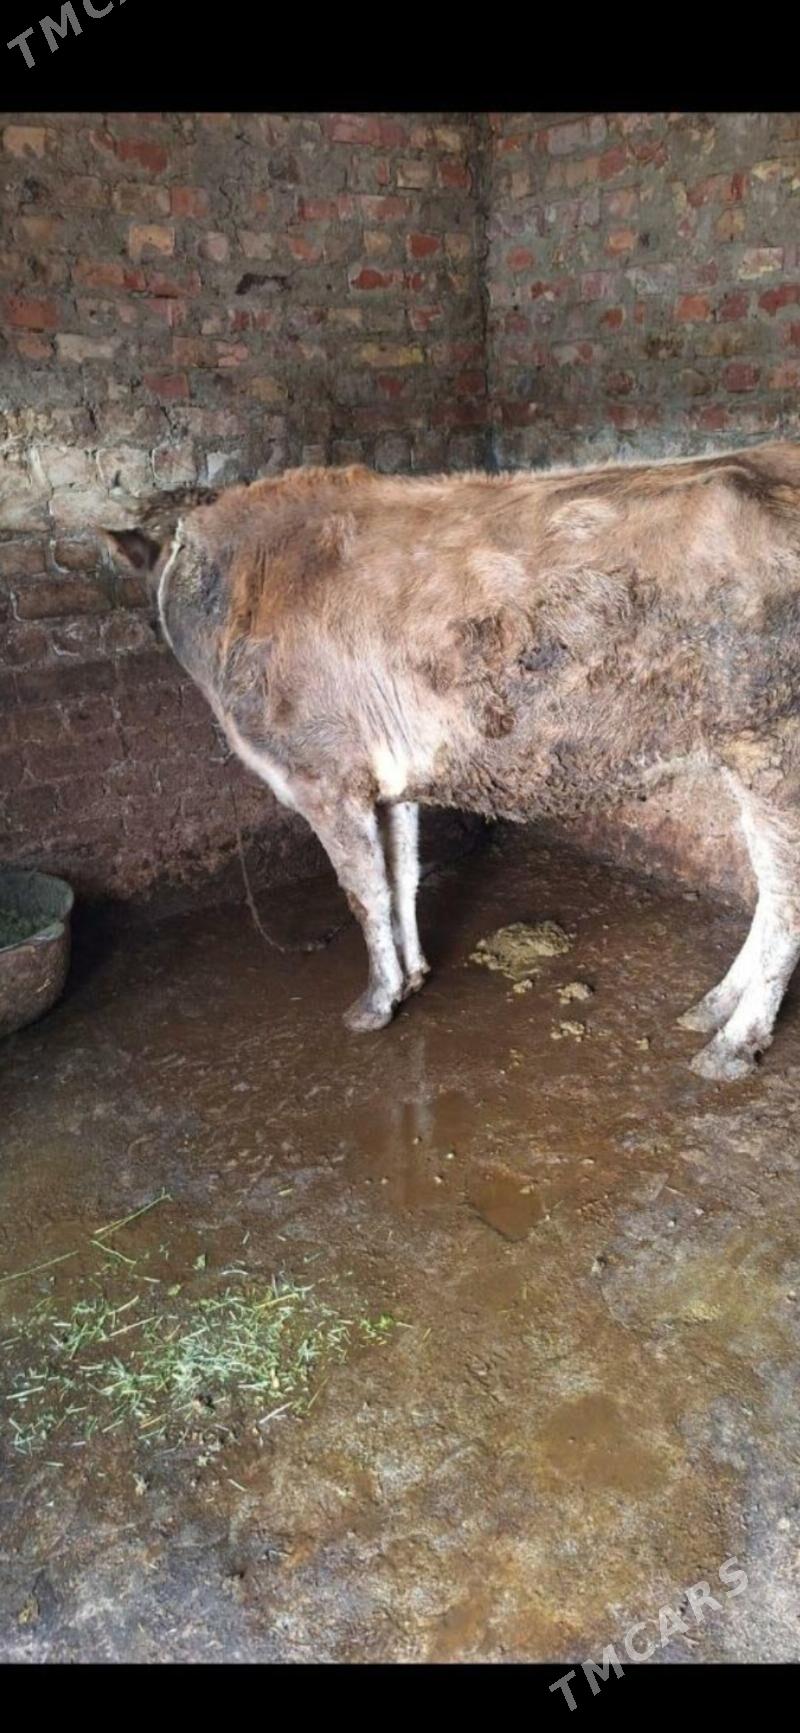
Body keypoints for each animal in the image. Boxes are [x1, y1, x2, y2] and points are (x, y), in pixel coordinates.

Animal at [104, 441, 800, 1083]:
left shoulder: (324, 776)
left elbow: (362, 892)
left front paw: (375, 1002)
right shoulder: (390, 781)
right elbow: (402, 875)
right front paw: (413, 975)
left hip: (771, 748)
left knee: (786, 898)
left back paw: (733, 1043)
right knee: (768, 892)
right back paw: (713, 1005)